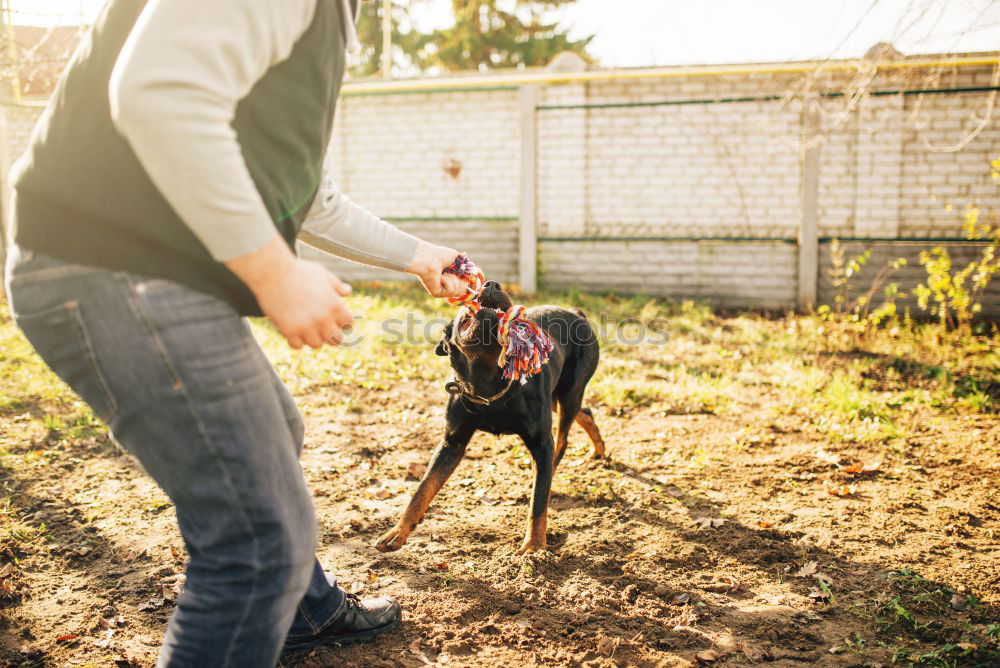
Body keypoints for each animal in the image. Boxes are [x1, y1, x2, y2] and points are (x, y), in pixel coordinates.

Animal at [376, 280, 604, 552]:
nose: (492, 284)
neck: (489, 384)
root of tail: (576, 313)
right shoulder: (452, 443)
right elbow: (422, 489)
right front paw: (397, 532)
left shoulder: (541, 441)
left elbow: (538, 503)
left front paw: (534, 546)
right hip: (557, 399)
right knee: (585, 412)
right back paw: (599, 450)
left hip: (569, 394)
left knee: (561, 442)